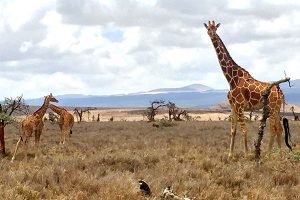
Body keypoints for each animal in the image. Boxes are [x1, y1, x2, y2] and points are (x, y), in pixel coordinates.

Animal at [203, 20, 284, 158]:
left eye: (215, 29)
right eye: (208, 28)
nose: (212, 34)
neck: (232, 79)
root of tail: (280, 92)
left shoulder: (240, 105)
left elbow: (244, 129)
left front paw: (247, 154)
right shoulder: (233, 106)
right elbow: (233, 130)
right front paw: (230, 155)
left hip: (272, 108)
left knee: (273, 129)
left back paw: (268, 153)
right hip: (277, 109)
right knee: (279, 128)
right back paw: (280, 152)